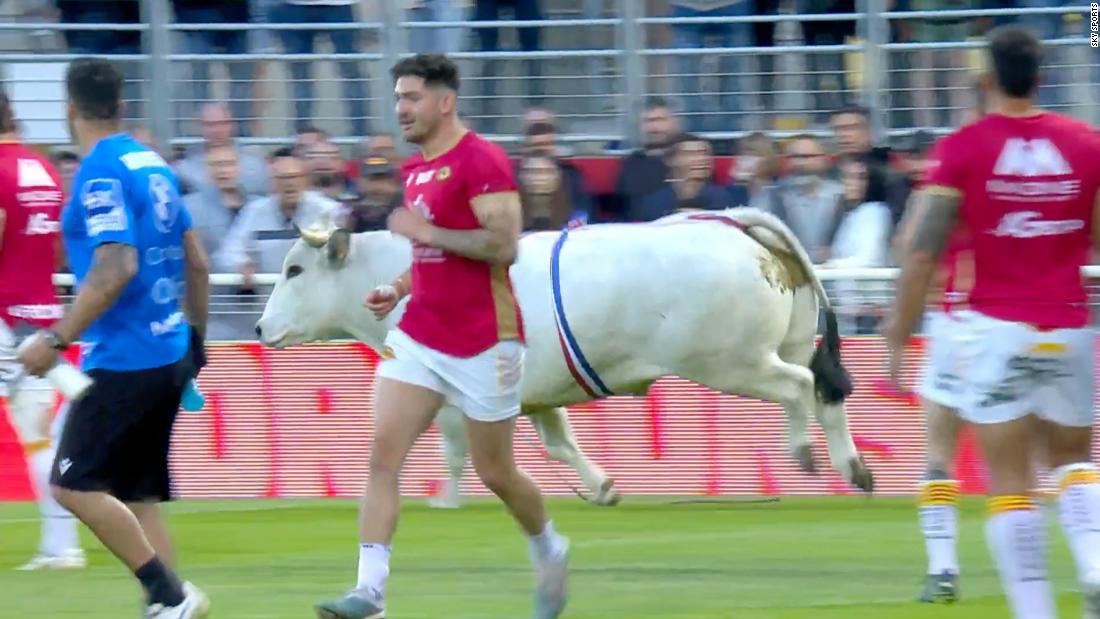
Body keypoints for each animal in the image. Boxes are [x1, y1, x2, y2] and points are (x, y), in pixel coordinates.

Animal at [255, 209, 875, 507]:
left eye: (295, 269)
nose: (260, 327)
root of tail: (734, 225)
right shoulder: (536, 395)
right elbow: (561, 444)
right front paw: (602, 486)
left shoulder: (453, 397)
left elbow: (453, 451)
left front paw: (448, 503)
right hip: (775, 347)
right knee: (824, 389)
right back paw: (855, 468)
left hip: (734, 362)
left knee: (801, 387)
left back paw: (808, 453)